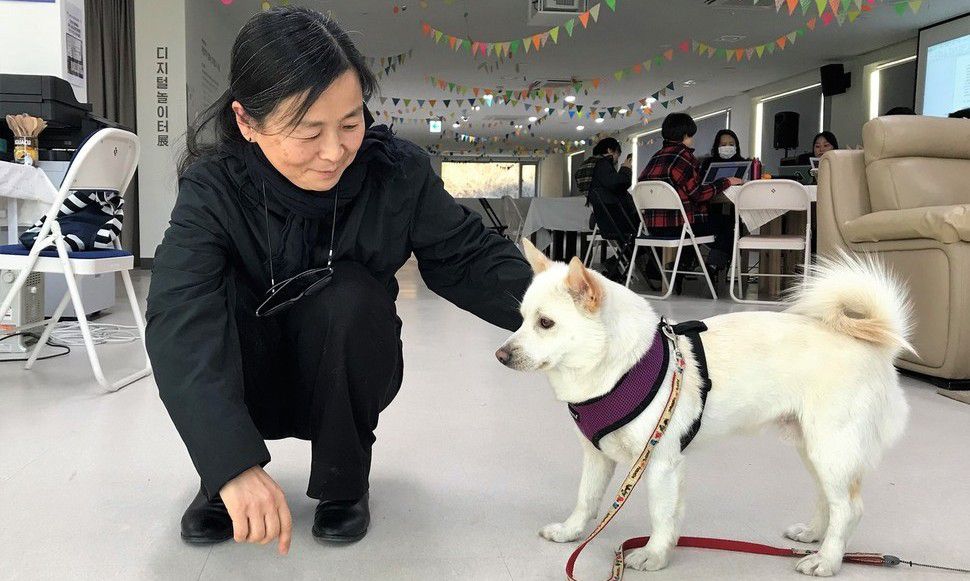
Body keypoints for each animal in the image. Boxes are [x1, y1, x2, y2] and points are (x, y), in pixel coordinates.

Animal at [496, 241, 912, 576]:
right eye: (521, 319)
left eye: (545, 323)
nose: (501, 355)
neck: (618, 368)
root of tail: (873, 346)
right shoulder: (596, 456)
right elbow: (586, 500)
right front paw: (571, 532)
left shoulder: (661, 463)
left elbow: (662, 514)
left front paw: (654, 555)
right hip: (814, 449)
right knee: (829, 499)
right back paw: (813, 535)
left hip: (832, 449)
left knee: (849, 508)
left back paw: (827, 560)